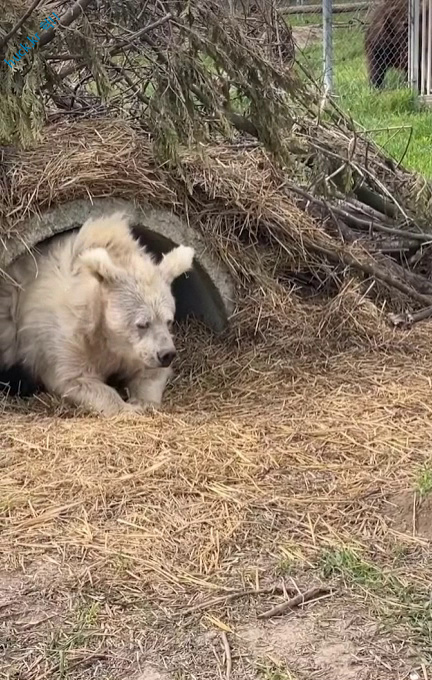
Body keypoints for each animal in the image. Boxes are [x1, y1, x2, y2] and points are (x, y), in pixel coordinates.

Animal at [0, 212, 194, 414]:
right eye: (142, 323)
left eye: (168, 320)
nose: (166, 354)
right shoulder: (68, 339)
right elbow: (76, 378)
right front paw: (128, 408)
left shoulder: (135, 350)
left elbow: (150, 372)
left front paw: (143, 402)